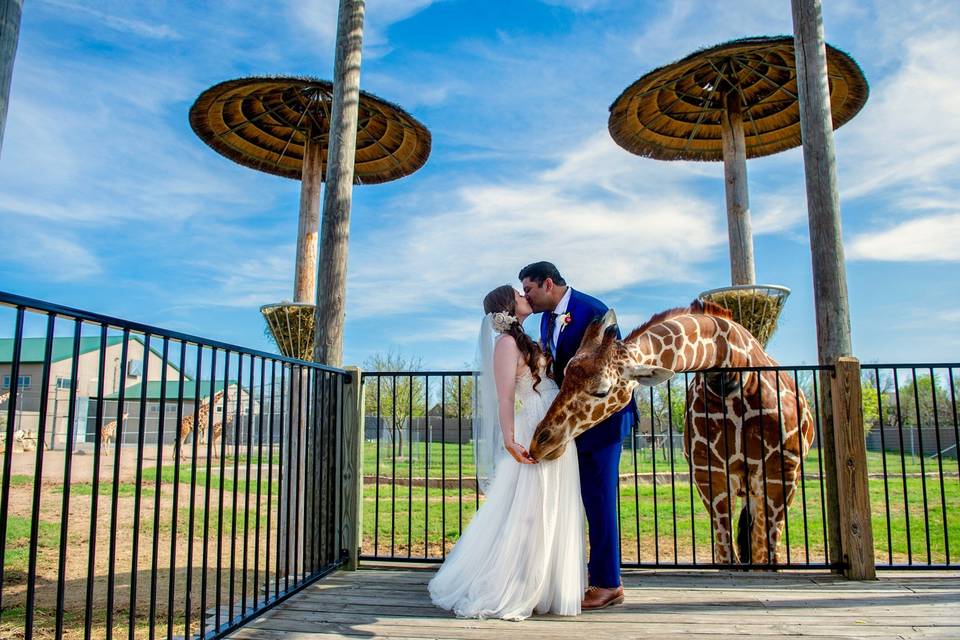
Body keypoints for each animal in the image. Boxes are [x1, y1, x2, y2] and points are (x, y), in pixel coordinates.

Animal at [528, 302, 812, 564]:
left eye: (602, 391)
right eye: (564, 376)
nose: (539, 443)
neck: (729, 372)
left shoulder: (781, 472)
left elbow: (764, 555)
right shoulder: (709, 474)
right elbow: (727, 555)